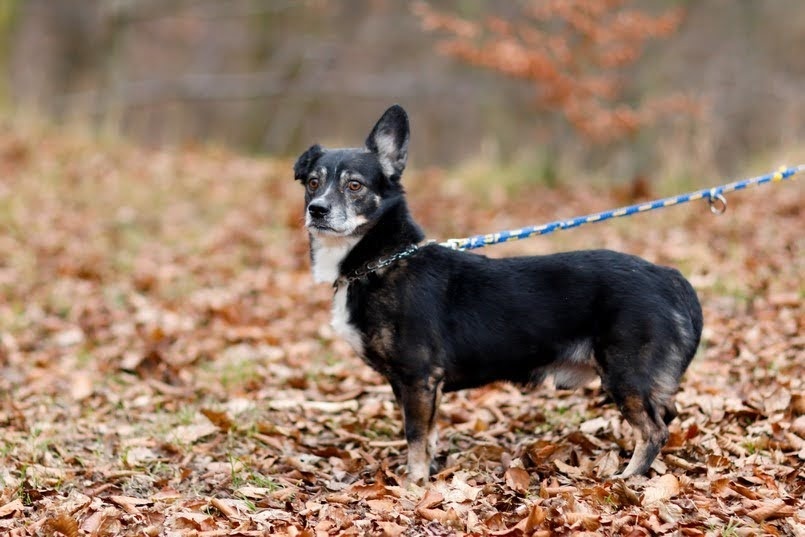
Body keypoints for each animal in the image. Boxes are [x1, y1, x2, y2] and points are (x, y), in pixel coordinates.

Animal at [292, 103, 700, 482]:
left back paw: (628, 479)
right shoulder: (417, 386)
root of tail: (667, 275)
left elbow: (416, 438)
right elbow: (430, 435)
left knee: (654, 431)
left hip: (625, 376)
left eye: (355, 185)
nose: (317, 210)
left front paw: (414, 485)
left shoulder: (418, 378)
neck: (382, 259)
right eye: (312, 182)